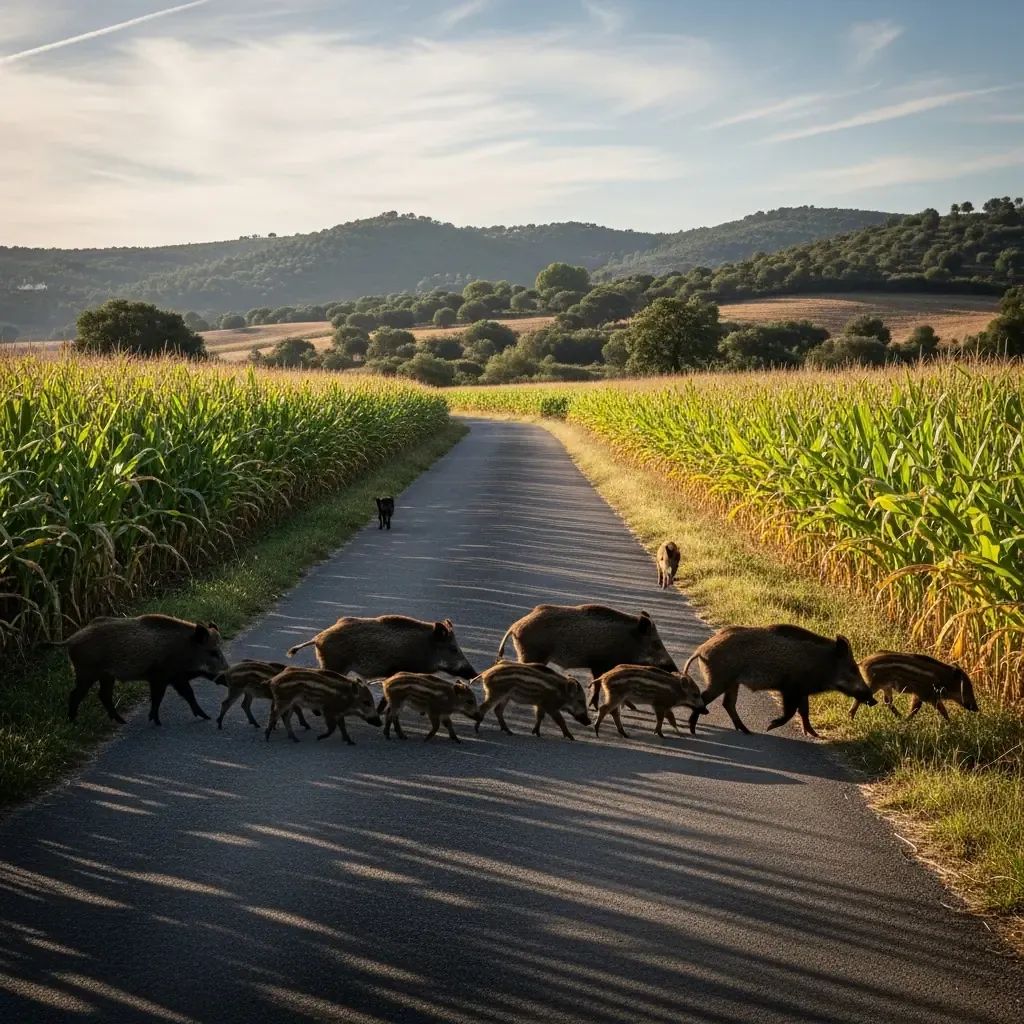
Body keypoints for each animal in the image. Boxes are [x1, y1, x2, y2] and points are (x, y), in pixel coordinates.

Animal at [58, 614, 228, 726]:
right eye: (213, 652)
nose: (228, 674)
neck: (185, 649)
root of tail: (70, 640)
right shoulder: (160, 677)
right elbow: (159, 697)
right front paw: (157, 722)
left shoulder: (176, 678)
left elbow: (189, 694)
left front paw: (206, 717)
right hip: (86, 673)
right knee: (76, 694)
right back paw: (73, 722)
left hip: (106, 676)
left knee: (103, 695)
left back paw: (122, 722)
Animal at [497, 604, 677, 709]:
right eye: (656, 643)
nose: (674, 669)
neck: (629, 641)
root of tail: (515, 626)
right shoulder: (601, 664)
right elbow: (597, 685)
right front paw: (595, 707)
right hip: (532, 654)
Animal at [683, 623, 876, 737]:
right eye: (853, 669)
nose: (873, 700)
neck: (823, 664)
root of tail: (701, 649)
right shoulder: (790, 688)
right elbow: (791, 711)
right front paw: (770, 727)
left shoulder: (802, 691)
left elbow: (804, 711)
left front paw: (814, 735)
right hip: (719, 679)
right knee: (705, 699)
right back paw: (693, 730)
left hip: (732, 682)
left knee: (728, 703)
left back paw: (747, 731)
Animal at [850, 651, 979, 721]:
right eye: (966, 688)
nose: (977, 709)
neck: (943, 679)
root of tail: (862, 663)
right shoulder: (925, 695)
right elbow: (938, 710)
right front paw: (952, 724)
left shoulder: (923, 695)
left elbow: (917, 708)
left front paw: (906, 721)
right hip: (874, 684)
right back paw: (851, 717)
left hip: (886, 687)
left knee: (887, 701)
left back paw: (899, 717)